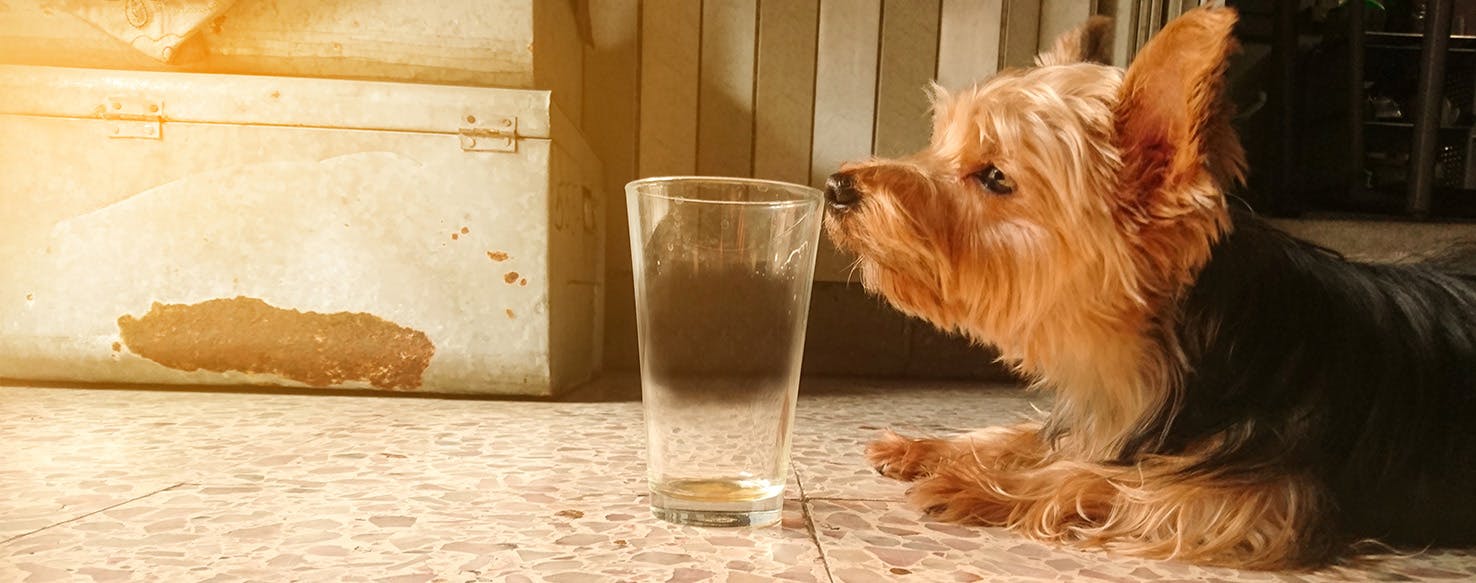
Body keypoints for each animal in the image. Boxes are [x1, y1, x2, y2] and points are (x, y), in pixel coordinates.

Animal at [826, 4, 1470, 569]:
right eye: (938, 143)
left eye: (994, 177)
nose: (836, 186)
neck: (1164, 341)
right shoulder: (1107, 415)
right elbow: (1031, 435)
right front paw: (930, 449)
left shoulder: (1257, 498)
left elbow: (1115, 481)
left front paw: (979, 484)